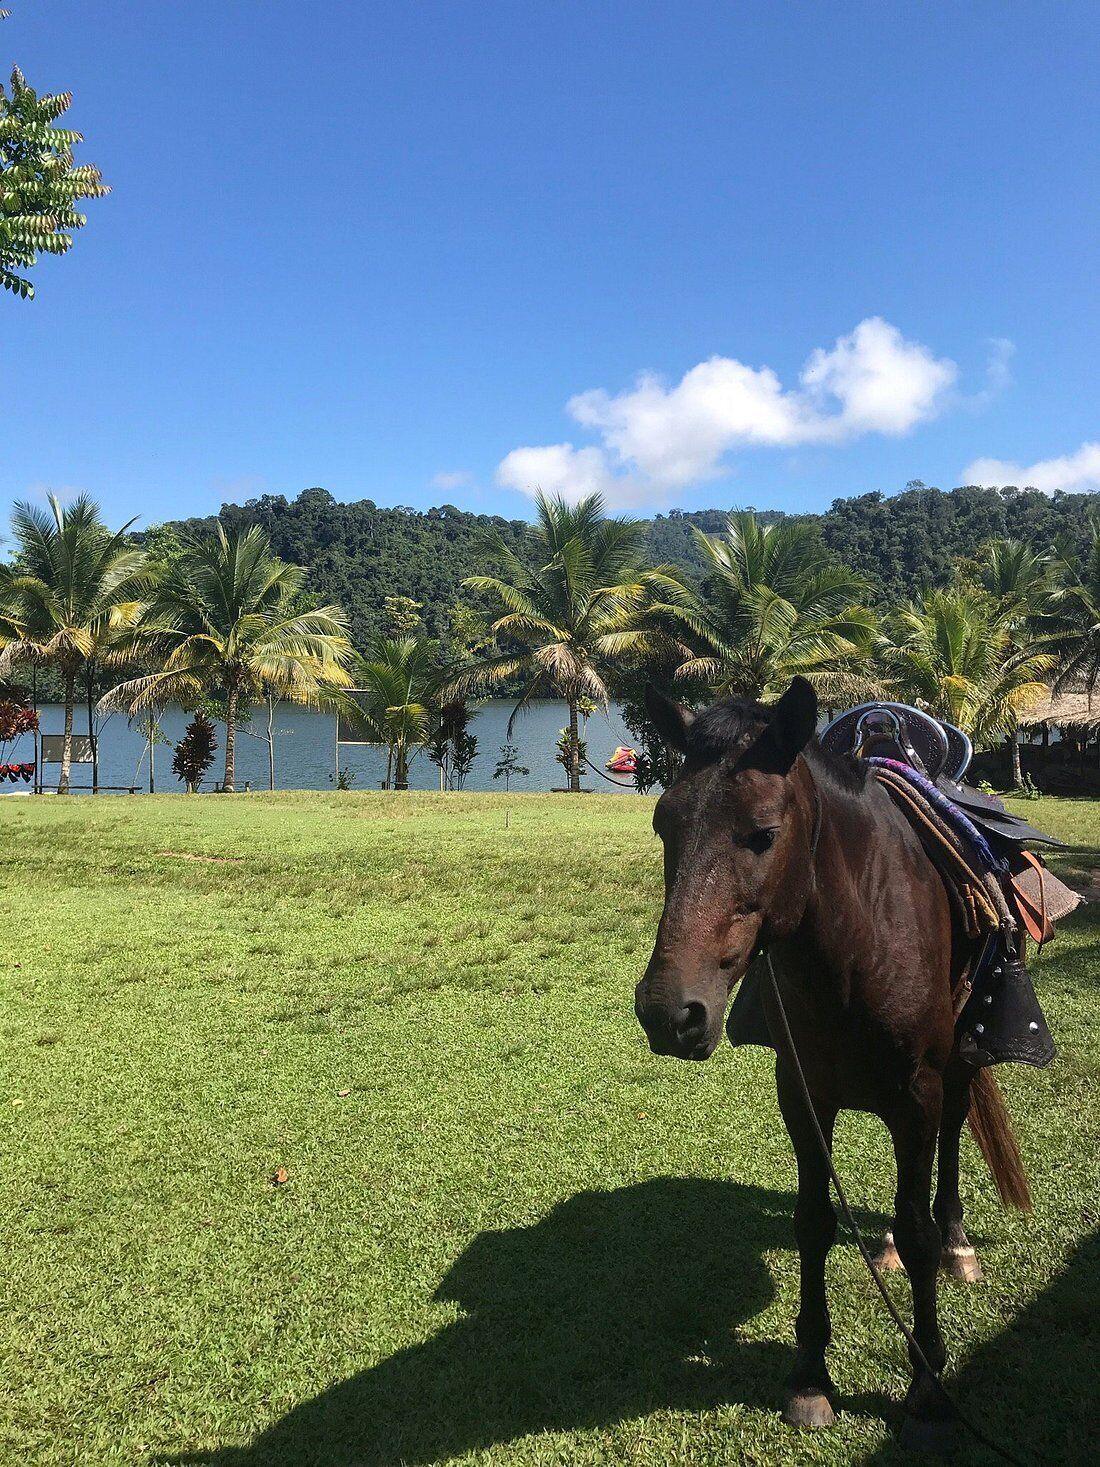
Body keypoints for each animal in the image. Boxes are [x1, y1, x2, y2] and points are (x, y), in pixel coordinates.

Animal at [634, 676, 1031, 1451]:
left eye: (763, 833)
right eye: (666, 826)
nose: (670, 1014)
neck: (855, 944)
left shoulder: (916, 1092)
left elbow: (917, 1225)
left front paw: (928, 1384)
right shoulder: (802, 1093)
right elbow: (814, 1221)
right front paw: (810, 1374)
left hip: (958, 1064)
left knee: (949, 1144)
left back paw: (958, 1243)